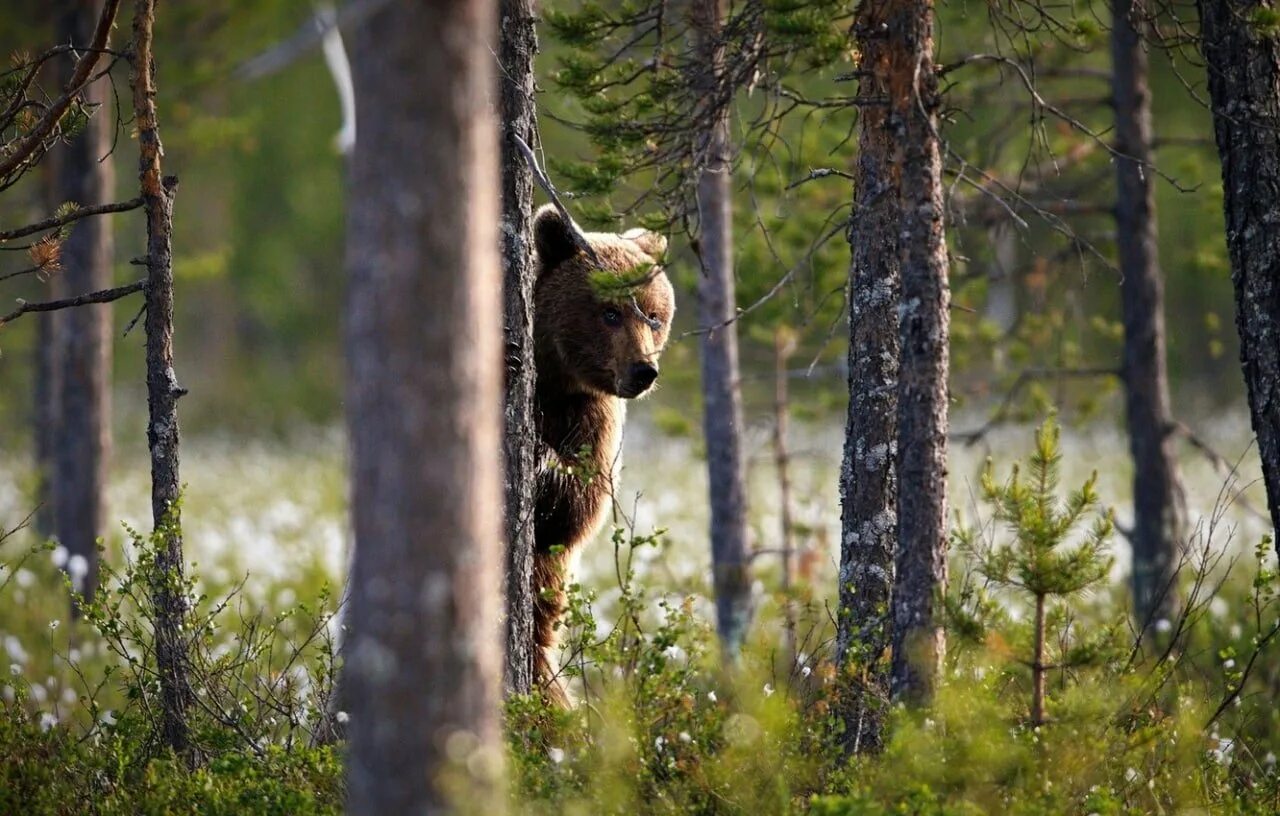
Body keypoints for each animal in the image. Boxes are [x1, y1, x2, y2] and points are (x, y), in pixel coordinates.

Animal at [527, 203, 675, 706]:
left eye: (653, 315)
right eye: (610, 312)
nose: (643, 370)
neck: (554, 380)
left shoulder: (594, 417)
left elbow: (580, 506)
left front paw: (545, 460)